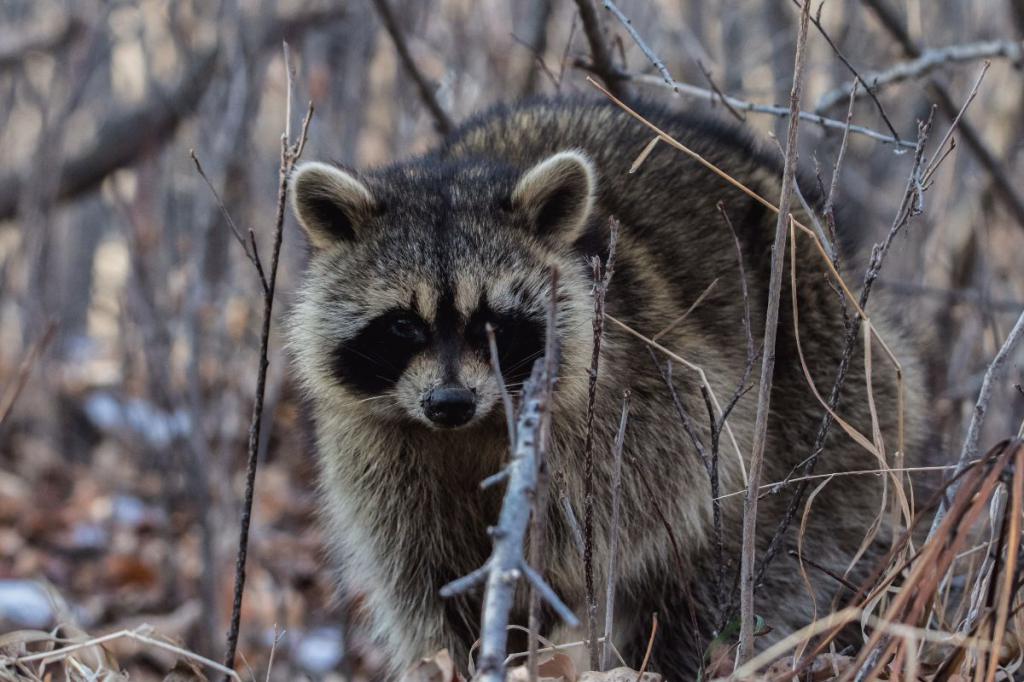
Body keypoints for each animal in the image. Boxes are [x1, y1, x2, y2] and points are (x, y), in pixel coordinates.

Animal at [284, 98, 925, 675]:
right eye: (402, 326)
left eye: (493, 324)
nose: (449, 402)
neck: (470, 431)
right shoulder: (380, 458)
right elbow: (428, 582)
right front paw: (464, 654)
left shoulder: (641, 394)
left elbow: (649, 514)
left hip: (830, 383)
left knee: (747, 561)